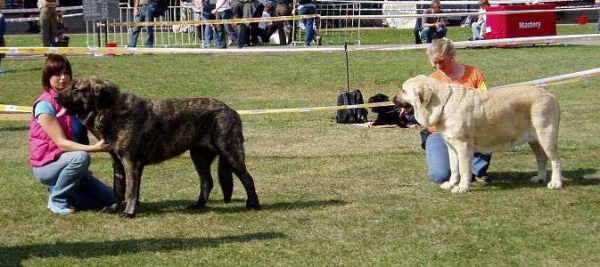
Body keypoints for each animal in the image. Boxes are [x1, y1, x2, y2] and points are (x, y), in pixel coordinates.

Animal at [55, 76, 260, 219]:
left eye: (76, 88)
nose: (56, 97)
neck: (110, 110)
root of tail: (230, 110)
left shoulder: (131, 162)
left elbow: (131, 190)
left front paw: (129, 212)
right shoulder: (118, 163)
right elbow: (118, 189)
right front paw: (113, 208)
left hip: (230, 152)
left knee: (247, 179)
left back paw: (253, 204)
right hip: (198, 155)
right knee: (207, 182)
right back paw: (198, 204)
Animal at [394, 76, 564, 194]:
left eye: (403, 90)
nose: (393, 98)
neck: (444, 103)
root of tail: (550, 95)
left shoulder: (463, 146)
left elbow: (463, 168)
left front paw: (462, 187)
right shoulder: (451, 146)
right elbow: (454, 168)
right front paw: (451, 183)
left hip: (546, 135)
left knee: (555, 160)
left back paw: (555, 183)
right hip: (534, 140)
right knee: (542, 158)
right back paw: (540, 177)